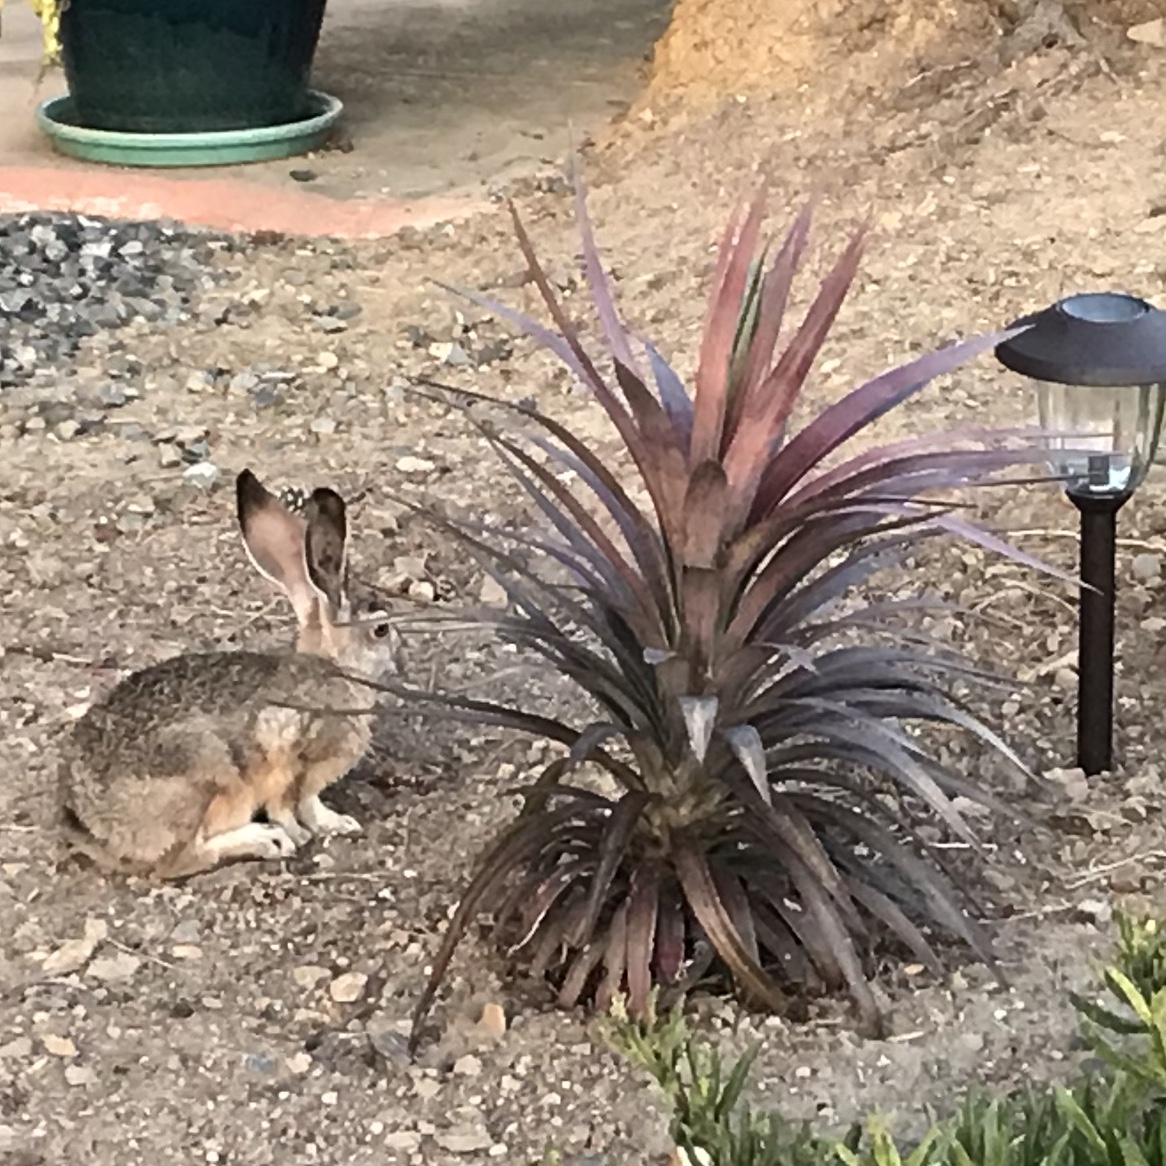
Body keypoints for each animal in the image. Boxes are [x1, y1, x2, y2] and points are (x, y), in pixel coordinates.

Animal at [58, 468, 401, 879]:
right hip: (206, 778)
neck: (335, 666)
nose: (397, 660)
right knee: (180, 860)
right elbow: (298, 804)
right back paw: (265, 840)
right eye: (381, 629)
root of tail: (93, 821)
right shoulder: (296, 759)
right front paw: (320, 828)